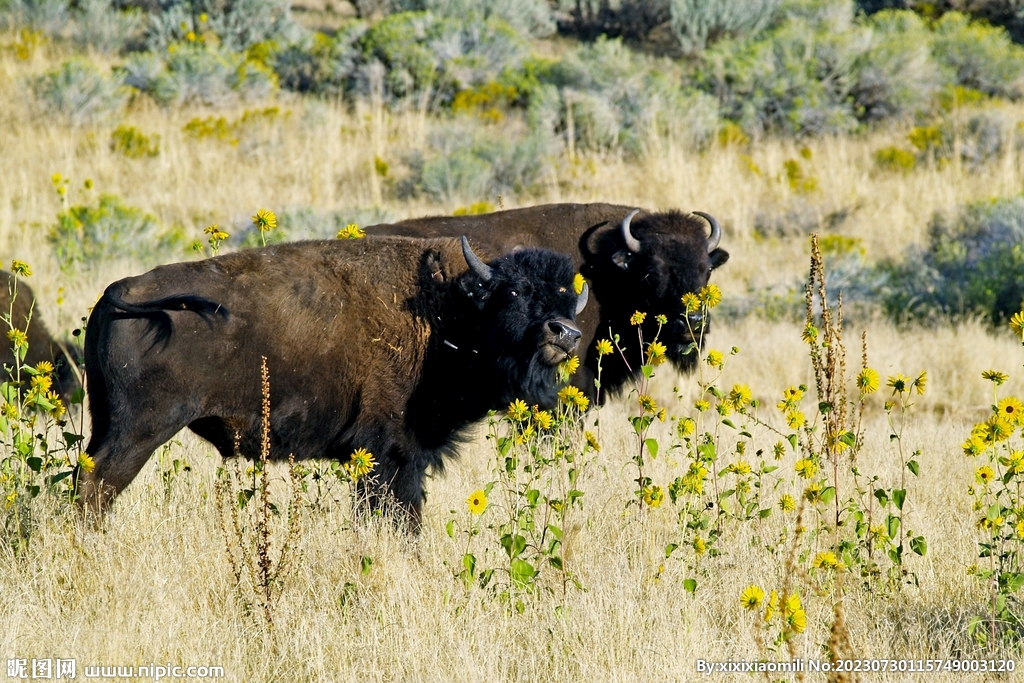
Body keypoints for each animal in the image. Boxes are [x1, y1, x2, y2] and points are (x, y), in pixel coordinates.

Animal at [77, 235, 593, 524]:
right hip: (141, 431)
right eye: (515, 291)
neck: (448, 308)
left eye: (568, 300)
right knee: (97, 486)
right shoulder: (391, 452)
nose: (564, 333)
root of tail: (118, 290)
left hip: (106, 420)